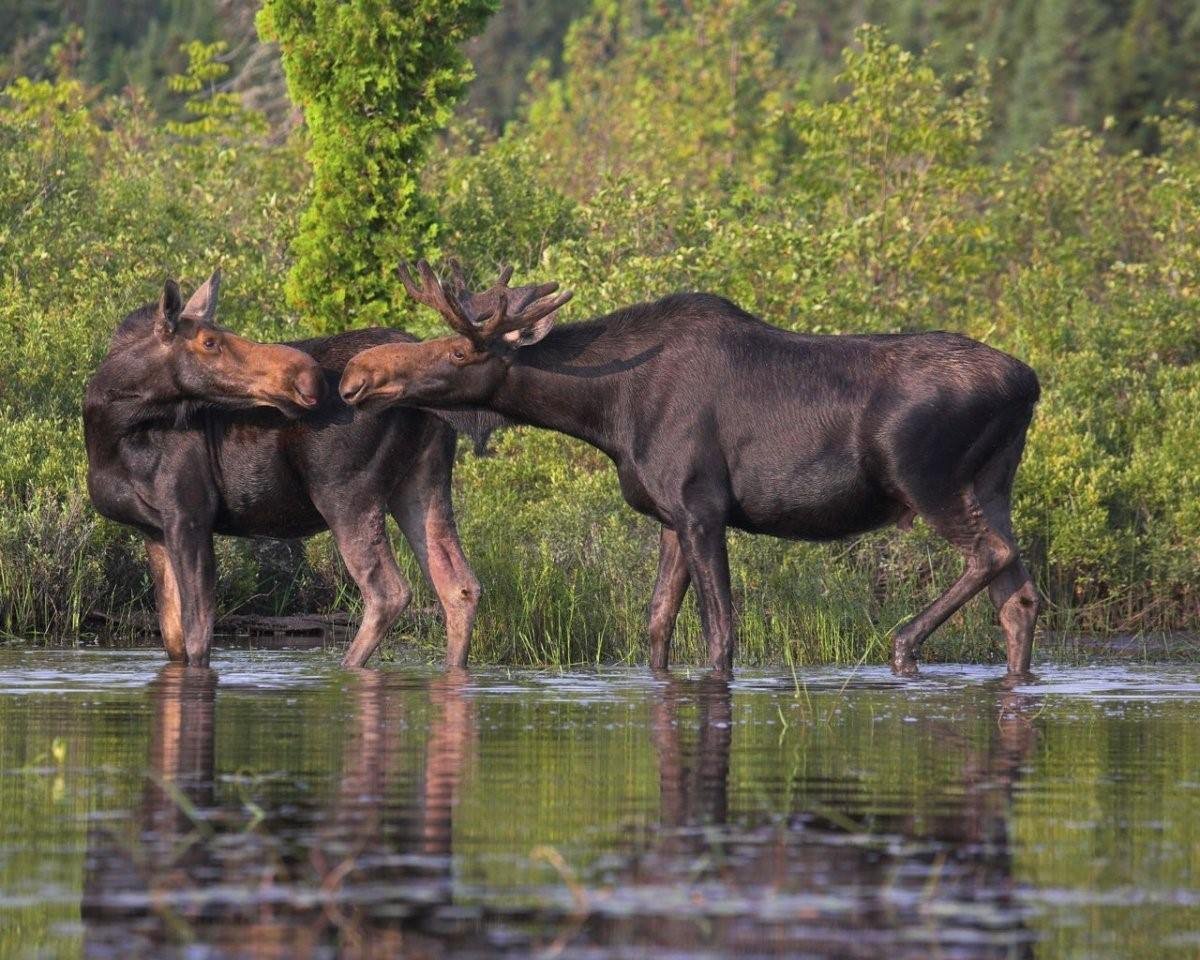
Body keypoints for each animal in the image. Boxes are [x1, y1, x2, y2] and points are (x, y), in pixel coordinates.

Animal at [83, 270, 496, 667]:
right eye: (209, 342)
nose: (305, 376)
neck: (109, 431)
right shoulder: (152, 529)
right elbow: (172, 638)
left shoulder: (190, 513)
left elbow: (197, 635)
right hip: (421, 482)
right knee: (459, 585)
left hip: (345, 491)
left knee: (388, 592)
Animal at [340, 262, 1041, 676]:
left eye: (460, 351)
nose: (356, 376)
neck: (606, 413)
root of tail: (1029, 383)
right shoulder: (670, 516)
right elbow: (656, 626)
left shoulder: (703, 509)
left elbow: (720, 636)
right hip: (993, 484)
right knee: (1020, 596)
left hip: (927, 479)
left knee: (993, 554)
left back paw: (903, 647)